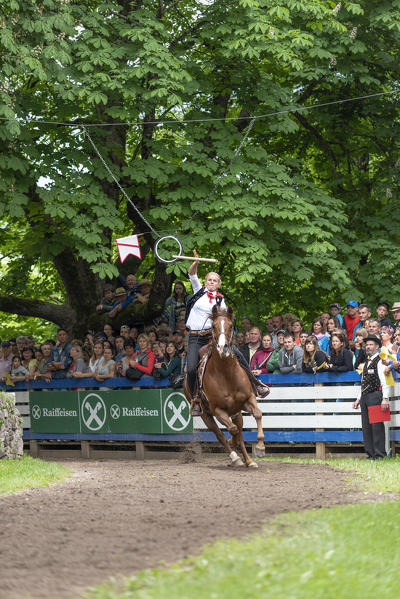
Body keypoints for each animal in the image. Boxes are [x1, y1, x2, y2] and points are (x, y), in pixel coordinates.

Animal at [184, 304, 266, 468]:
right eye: (213, 326)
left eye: (230, 325)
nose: (223, 347)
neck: (227, 374)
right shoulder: (218, 410)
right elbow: (232, 431)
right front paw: (234, 445)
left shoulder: (248, 399)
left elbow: (257, 414)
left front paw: (260, 446)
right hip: (205, 415)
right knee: (220, 434)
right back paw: (236, 458)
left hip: (236, 413)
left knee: (238, 432)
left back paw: (248, 461)